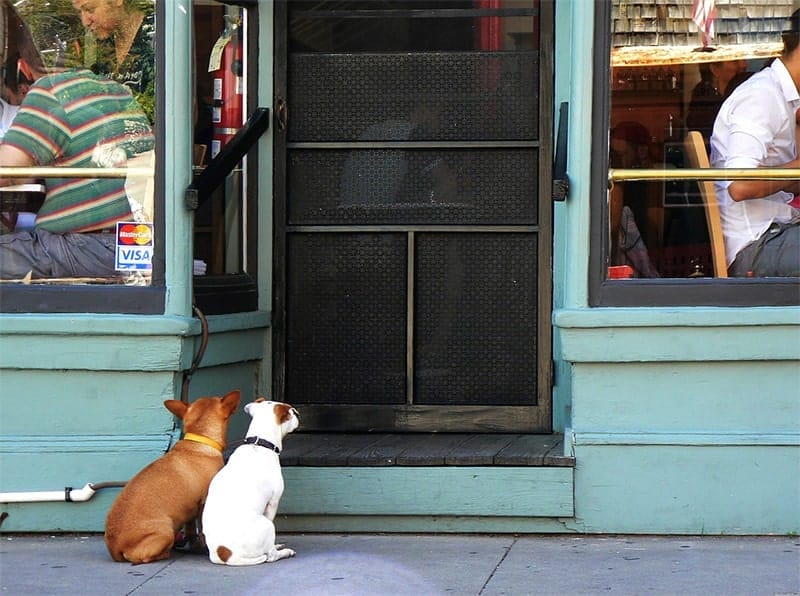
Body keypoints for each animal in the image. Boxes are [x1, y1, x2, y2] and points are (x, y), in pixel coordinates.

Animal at [104, 392, 241, 564]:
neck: (199, 441)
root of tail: (114, 549)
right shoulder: (204, 502)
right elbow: (203, 530)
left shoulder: (191, 510)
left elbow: (191, 531)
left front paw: (196, 546)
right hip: (166, 531)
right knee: (143, 558)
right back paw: (165, 553)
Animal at [200, 398, 300, 564]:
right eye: (291, 413)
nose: (298, 413)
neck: (259, 443)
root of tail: (226, 553)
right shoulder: (273, 502)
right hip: (267, 525)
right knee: (270, 556)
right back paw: (284, 552)